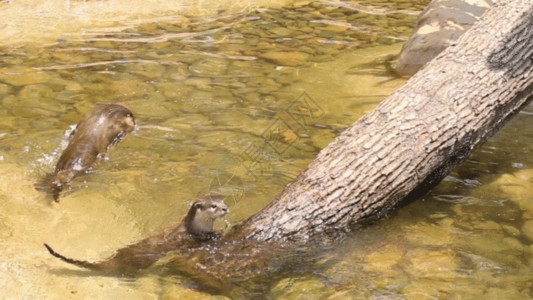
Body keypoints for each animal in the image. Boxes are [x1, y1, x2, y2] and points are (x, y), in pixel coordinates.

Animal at [44, 195, 229, 276]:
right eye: (213, 206)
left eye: (223, 202)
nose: (226, 208)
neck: (195, 226)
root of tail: (118, 256)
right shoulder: (190, 236)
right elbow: (201, 238)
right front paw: (216, 235)